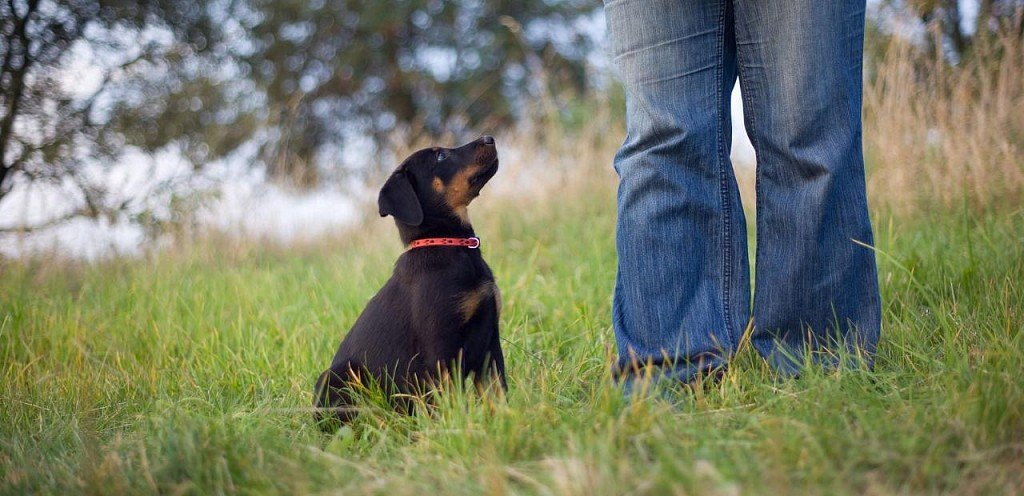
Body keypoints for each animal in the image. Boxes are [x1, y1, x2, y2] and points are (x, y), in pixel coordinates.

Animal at [311, 135, 503, 426]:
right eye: (440, 157)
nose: (489, 138)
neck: (448, 244)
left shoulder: (490, 341)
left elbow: (499, 394)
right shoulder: (441, 350)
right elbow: (451, 402)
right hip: (336, 377)